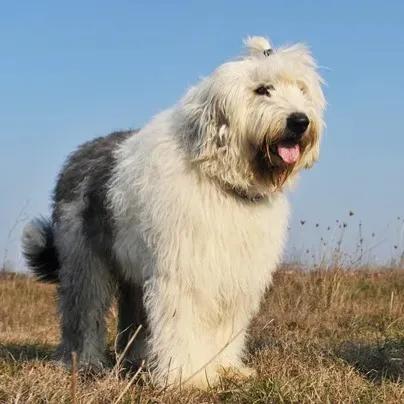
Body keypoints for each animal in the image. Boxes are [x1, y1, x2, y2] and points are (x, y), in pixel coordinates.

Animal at [21, 37, 326, 388]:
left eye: (301, 89)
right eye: (263, 89)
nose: (299, 121)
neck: (220, 179)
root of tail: (80, 153)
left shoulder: (235, 275)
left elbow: (225, 326)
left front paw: (225, 367)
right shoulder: (185, 271)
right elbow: (183, 322)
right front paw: (189, 376)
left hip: (133, 272)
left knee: (132, 317)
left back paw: (136, 359)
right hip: (84, 261)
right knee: (84, 312)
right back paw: (85, 362)